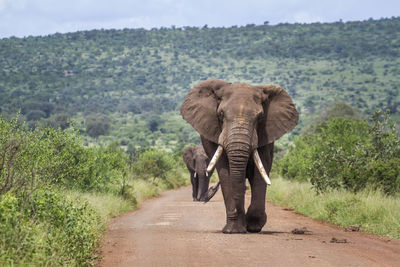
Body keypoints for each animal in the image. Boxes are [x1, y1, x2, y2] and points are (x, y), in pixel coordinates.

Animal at [180, 80, 296, 234]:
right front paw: (233, 230)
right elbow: (225, 172)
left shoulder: (266, 133)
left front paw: (253, 226)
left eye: (260, 117)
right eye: (221, 114)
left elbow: (260, 170)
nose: (205, 200)